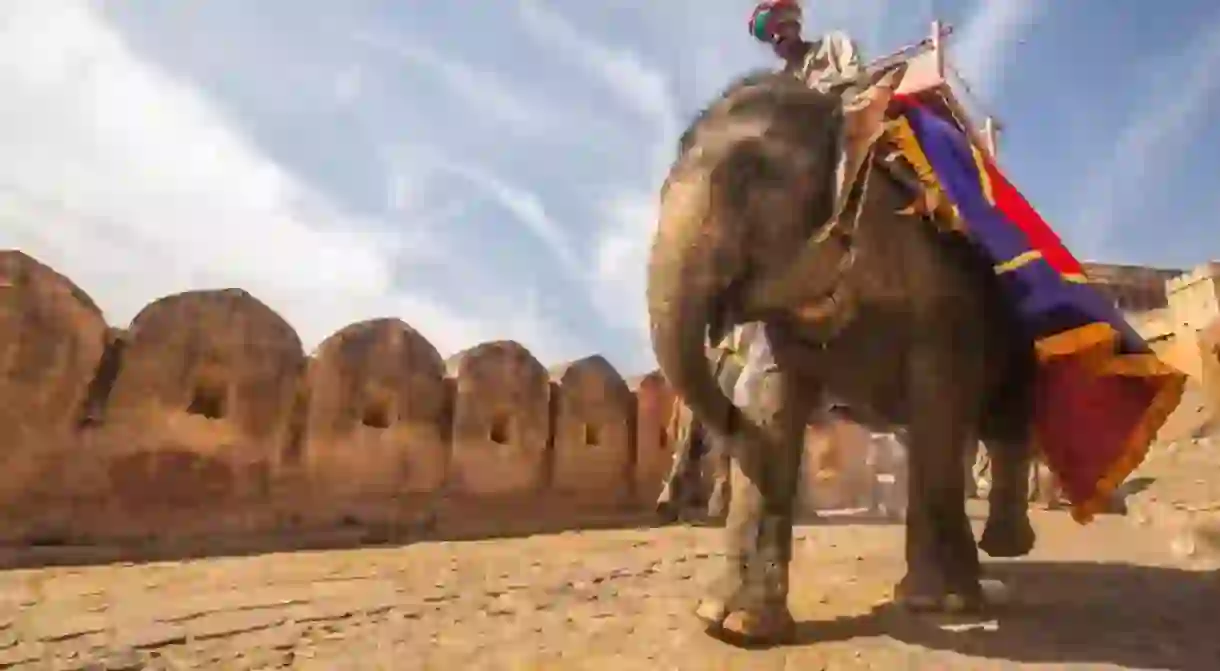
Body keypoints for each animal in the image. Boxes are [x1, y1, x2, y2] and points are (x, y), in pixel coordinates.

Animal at [649, 68, 1039, 649]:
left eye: (750, 173)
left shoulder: (945, 297)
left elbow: (940, 409)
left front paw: (941, 604)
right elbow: (769, 398)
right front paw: (735, 625)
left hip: (1015, 323)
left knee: (998, 425)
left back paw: (999, 554)